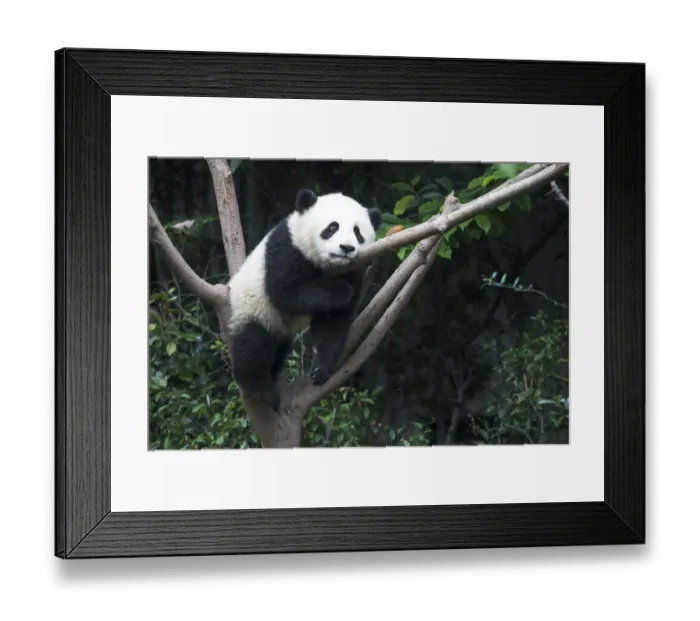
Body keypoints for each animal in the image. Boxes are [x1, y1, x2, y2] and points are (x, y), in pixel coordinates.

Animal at [226, 188, 382, 411]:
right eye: (332, 227)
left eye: (357, 232)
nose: (346, 248)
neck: (329, 265)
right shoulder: (287, 247)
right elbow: (285, 292)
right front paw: (341, 291)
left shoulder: (354, 270)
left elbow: (333, 322)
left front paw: (320, 370)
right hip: (251, 307)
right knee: (252, 343)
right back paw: (261, 389)